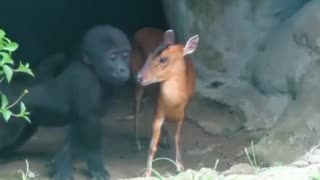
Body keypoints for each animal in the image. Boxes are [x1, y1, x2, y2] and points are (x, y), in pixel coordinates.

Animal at [136, 29, 200, 176]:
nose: (139, 77)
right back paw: (138, 143)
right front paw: (147, 173)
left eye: (163, 59)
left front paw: (180, 167)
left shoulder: (183, 114)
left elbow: (178, 138)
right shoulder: (158, 111)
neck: (173, 103)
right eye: (150, 55)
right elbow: (152, 145)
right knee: (136, 107)